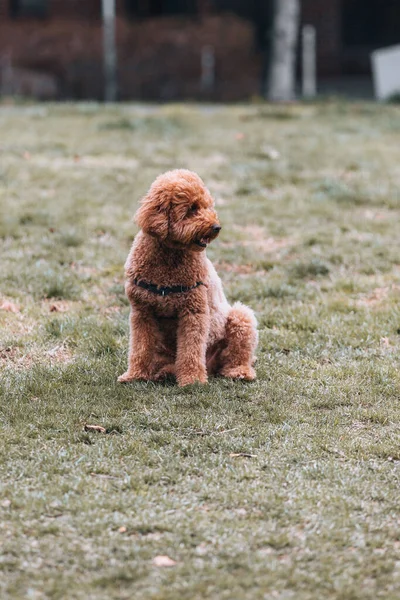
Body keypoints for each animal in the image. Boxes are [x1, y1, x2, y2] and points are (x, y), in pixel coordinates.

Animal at [117, 169, 258, 386]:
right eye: (192, 208)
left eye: (207, 206)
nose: (216, 227)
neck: (169, 258)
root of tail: (211, 366)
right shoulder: (142, 313)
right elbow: (140, 348)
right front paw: (135, 375)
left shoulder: (193, 312)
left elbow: (190, 350)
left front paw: (192, 380)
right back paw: (165, 372)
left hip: (240, 318)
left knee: (237, 355)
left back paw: (239, 372)